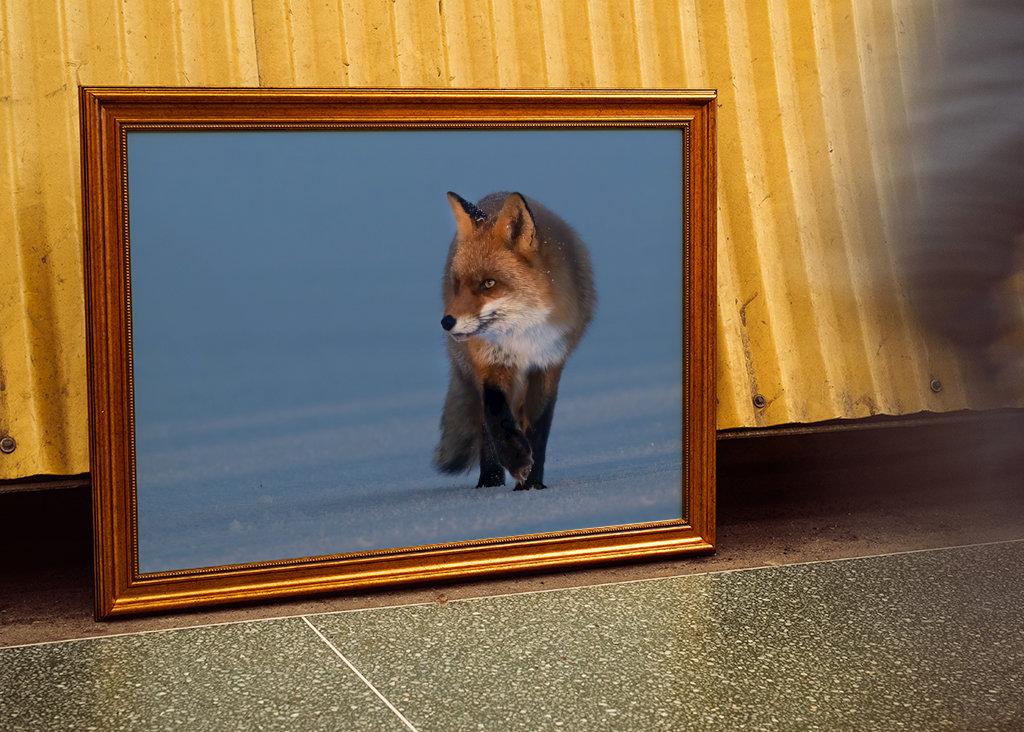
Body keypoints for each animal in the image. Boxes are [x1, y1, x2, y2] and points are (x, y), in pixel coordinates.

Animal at [433, 191, 596, 490]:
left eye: (488, 284)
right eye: (457, 283)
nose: (447, 322)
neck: (522, 337)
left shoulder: (548, 363)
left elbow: (539, 426)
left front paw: (531, 485)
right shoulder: (491, 361)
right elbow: (496, 414)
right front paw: (516, 459)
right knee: (485, 423)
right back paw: (489, 481)